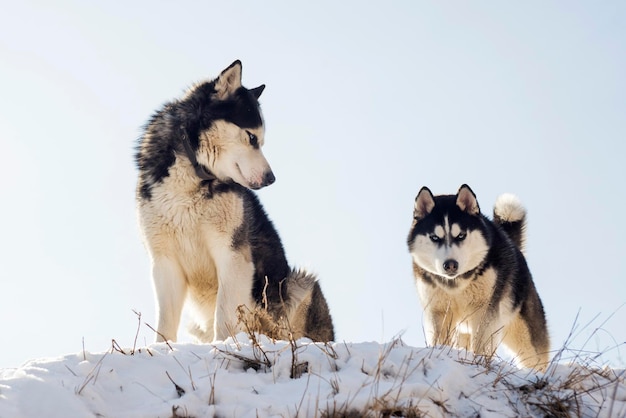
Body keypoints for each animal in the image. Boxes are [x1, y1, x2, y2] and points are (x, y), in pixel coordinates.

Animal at [135, 60, 334, 344]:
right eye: (252, 138)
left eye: (262, 141)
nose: (271, 179)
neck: (193, 177)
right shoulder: (165, 262)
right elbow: (165, 324)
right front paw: (163, 349)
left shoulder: (232, 255)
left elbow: (225, 315)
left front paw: (223, 346)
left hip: (297, 284)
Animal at [404, 185, 544, 370]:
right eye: (435, 237)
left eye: (461, 235)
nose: (450, 265)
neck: (456, 284)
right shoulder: (437, 310)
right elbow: (439, 338)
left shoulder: (485, 310)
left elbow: (481, 343)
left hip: (522, 333)